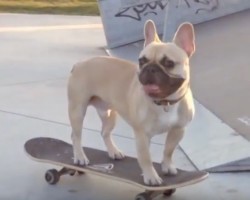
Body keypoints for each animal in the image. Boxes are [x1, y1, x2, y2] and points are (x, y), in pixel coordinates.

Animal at [68, 19, 195, 185]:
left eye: (169, 63)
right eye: (142, 61)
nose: (150, 69)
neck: (165, 103)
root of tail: (79, 64)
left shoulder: (178, 130)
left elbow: (168, 150)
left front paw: (167, 166)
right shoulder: (142, 135)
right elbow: (146, 157)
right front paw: (151, 176)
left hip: (109, 114)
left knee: (104, 132)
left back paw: (113, 151)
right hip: (77, 110)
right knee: (76, 136)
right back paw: (80, 157)